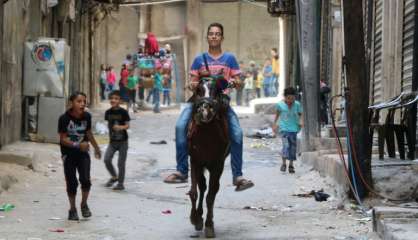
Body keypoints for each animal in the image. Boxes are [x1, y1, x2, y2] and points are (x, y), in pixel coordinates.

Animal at [188, 79, 230, 238]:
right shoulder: (195, 161)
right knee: (202, 187)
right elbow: (194, 192)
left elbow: (211, 196)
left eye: (216, 91)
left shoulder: (217, 164)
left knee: (212, 190)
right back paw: (199, 216)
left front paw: (209, 225)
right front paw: (195, 219)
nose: (204, 110)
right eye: (198, 91)